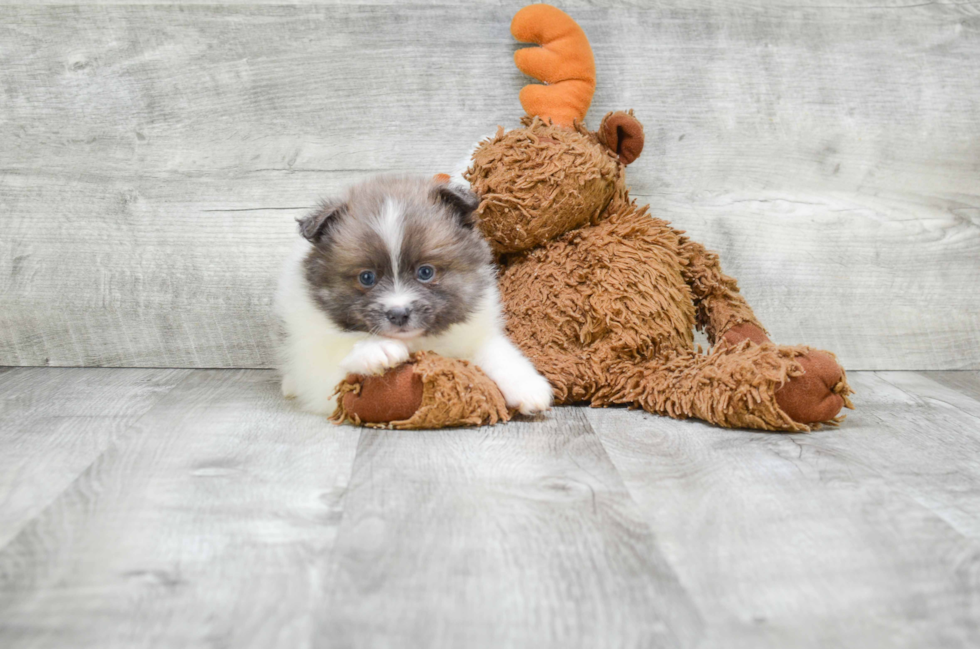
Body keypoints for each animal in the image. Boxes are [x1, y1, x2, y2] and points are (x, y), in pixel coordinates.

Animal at [276, 173, 556, 416]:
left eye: (425, 272)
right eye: (366, 277)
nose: (398, 314)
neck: (415, 342)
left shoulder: (473, 332)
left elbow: (496, 351)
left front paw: (527, 387)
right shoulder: (318, 370)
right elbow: (342, 352)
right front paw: (376, 349)